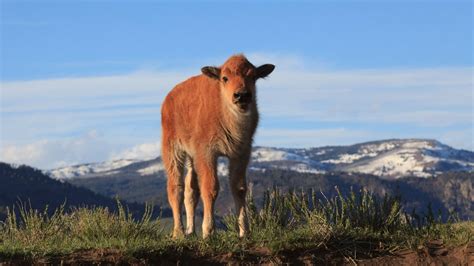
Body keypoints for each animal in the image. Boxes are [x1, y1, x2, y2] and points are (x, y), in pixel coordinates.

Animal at [162, 54, 276, 239]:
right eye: (225, 78)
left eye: (253, 76)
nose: (241, 95)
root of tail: (168, 98)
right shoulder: (208, 153)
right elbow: (211, 187)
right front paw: (209, 232)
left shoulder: (241, 154)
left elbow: (239, 188)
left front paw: (245, 232)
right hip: (173, 149)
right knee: (175, 188)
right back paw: (179, 232)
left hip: (192, 158)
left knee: (190, 190)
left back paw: (191, 231)